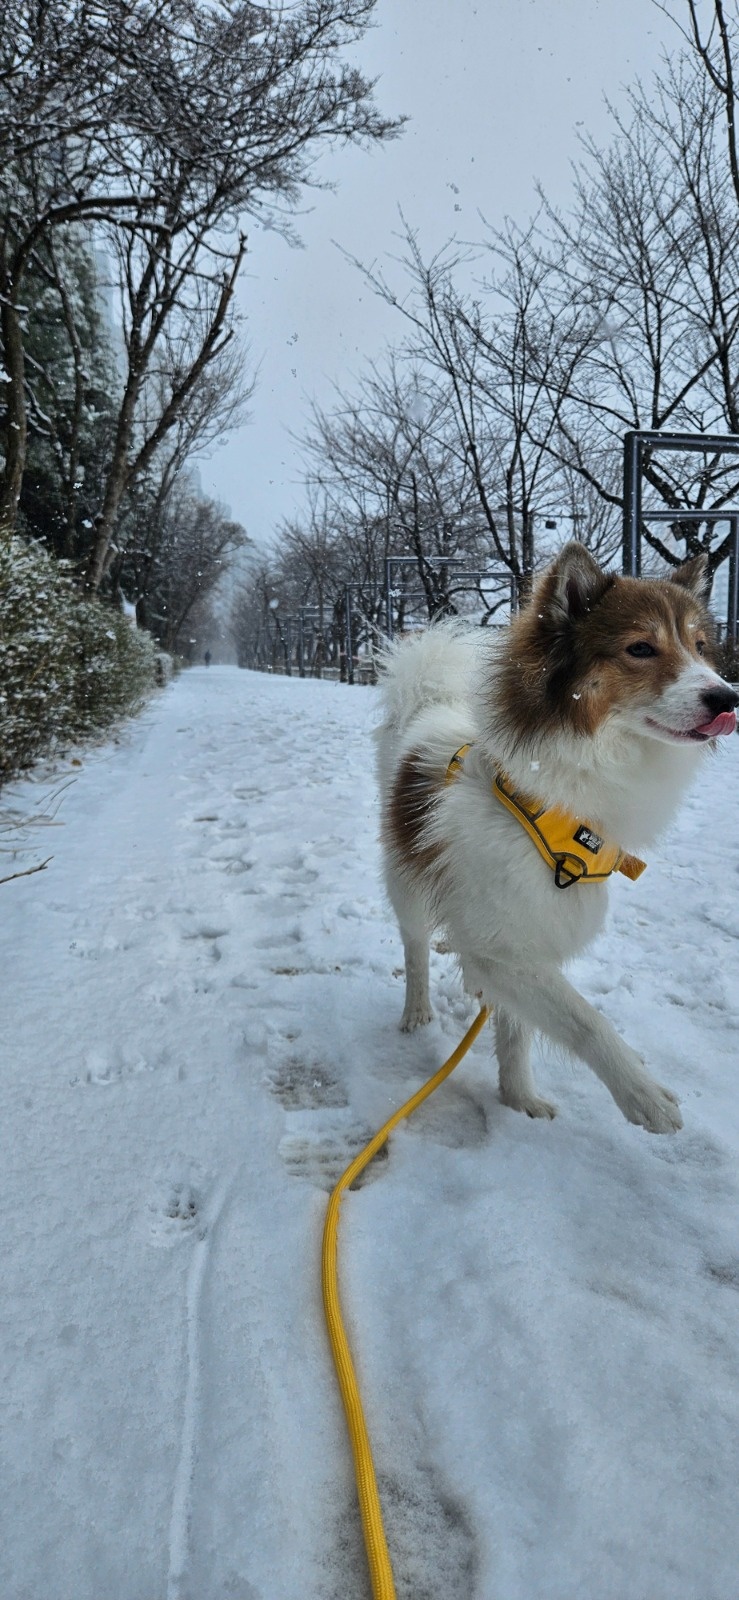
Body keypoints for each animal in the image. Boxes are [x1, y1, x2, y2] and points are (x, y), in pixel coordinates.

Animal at [377, 544, 735, 1132]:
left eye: (701, 648)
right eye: (641, 648)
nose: (727, 697)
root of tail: (429, 699)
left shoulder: (527, 936)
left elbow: (517, 1029)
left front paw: (518, 1096)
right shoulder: (505, 946)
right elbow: (585, 1020)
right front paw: (642, 1093)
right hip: (404, 883)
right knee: (415, 947)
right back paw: (416, 1009)